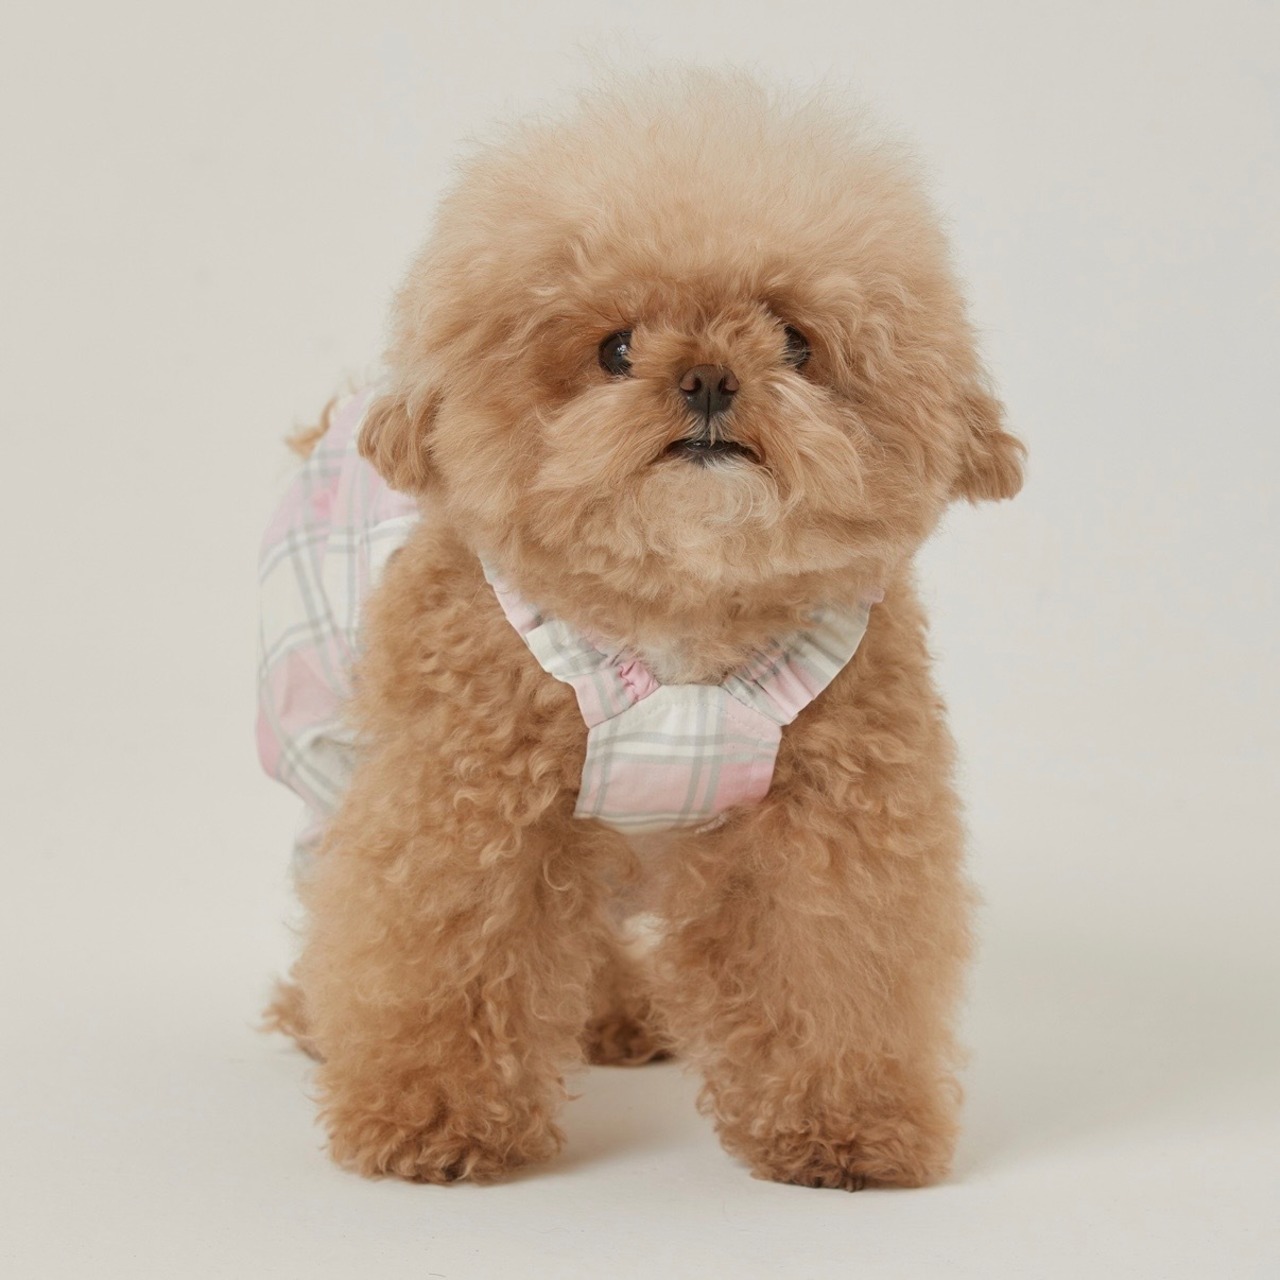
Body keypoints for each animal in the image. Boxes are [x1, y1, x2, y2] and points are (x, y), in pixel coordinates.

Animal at [257, 65, 1024, 1190]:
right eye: (615, 349)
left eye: (795, 341)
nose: (705, 376)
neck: (681, 618)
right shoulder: (462, 809)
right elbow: (435, 953)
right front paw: (433, 1121)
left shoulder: (826, 826)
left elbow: (829, 974)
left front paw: (845, 1129)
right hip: (321, 747)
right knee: (330, 890)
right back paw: (319, 1016)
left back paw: (614, 1016)